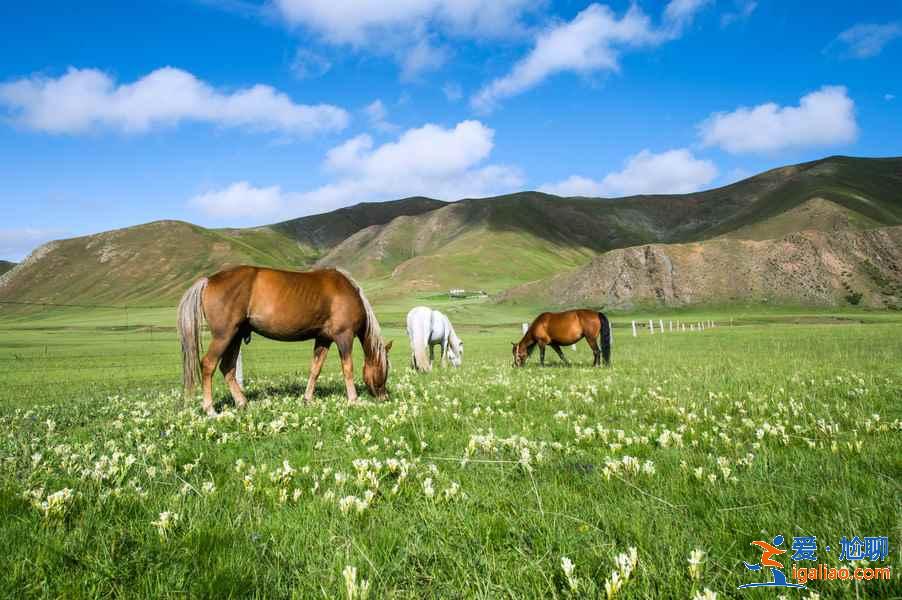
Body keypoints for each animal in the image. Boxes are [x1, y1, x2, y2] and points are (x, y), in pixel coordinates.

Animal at [177, 264, 392, 414]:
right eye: (385, 369)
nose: (384, 397)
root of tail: (208, 281)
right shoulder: (344, 337)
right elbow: (347, 368)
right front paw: (353, 400)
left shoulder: (323, 339)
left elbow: (315, 369)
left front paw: (307, 399)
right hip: (224, 336)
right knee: (208, 364)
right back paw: (210, 409)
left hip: (235, 337)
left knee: (227, 368)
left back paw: (242, 403)